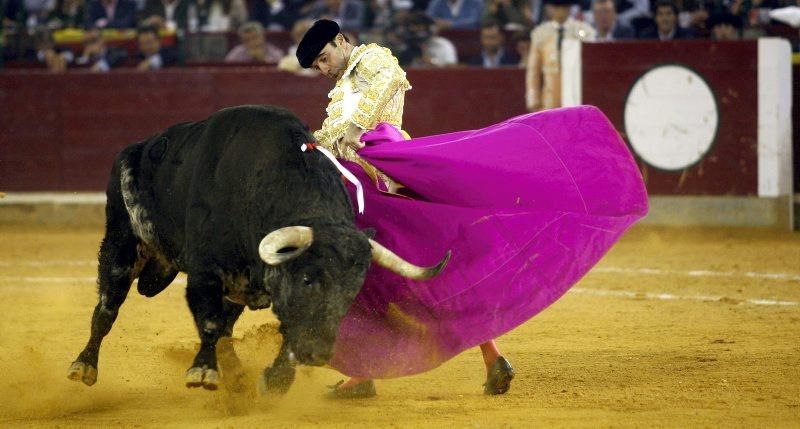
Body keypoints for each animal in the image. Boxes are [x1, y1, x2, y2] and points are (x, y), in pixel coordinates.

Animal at [69, 106, 450, 392]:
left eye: (353, 291)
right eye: (308, 280)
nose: (318, 354)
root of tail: (134, 148)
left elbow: (274, 328)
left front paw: (276, 379)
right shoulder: (205, 272)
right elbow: (209, 322)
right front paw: (202, 371)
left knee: (226, 330)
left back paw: (238, 378)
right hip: (121, 243)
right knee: (107, 308)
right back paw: (84, 366)